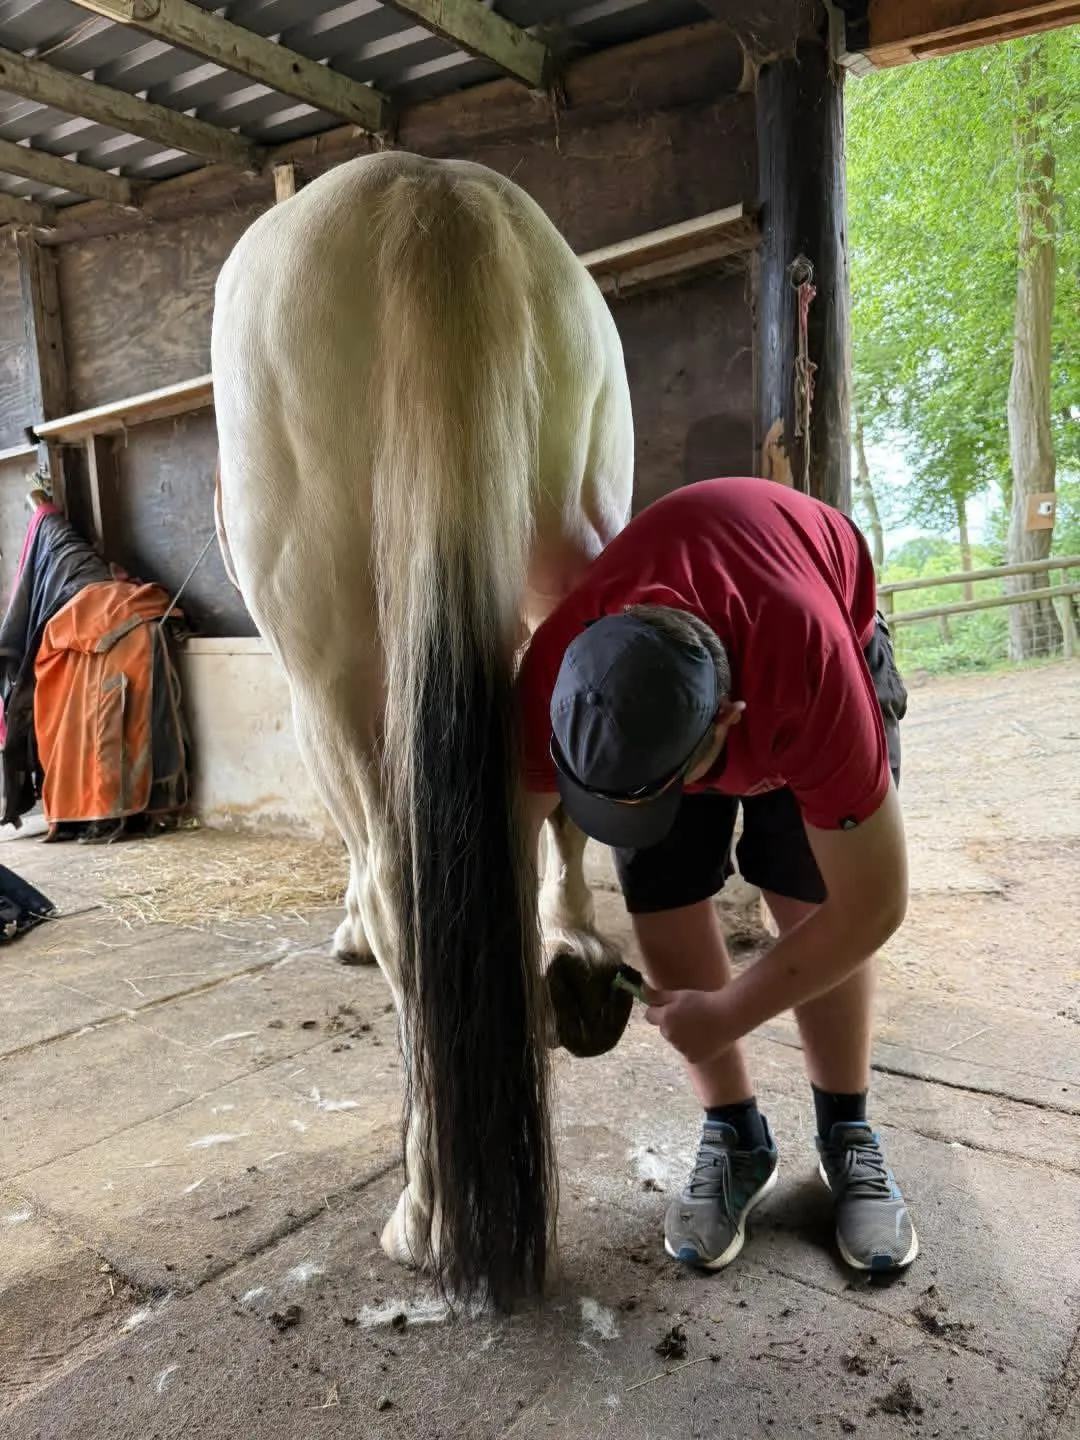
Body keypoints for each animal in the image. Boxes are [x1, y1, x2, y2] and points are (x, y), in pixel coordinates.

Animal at [211, 151, 635, 1310]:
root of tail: (427, 198)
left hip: (333, 660)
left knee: (406, 889)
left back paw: (428, 1212)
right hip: (571, 546)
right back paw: (574, 961)